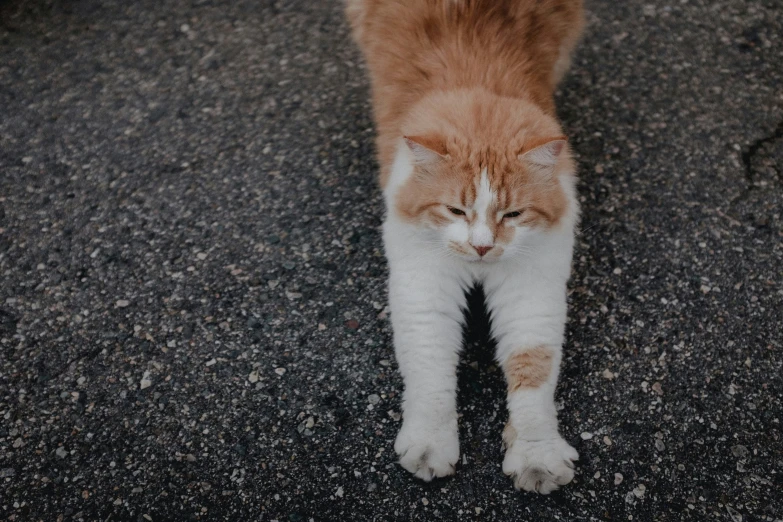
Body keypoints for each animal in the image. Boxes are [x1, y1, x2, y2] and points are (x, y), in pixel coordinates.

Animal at [346, 0, 584, 492]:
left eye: (513, 215)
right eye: (455, 211)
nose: (482, 247)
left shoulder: (532, 289)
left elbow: (532, 372)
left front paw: (535, 453)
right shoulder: (424, 286)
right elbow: (431, 372)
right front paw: (429, 444)